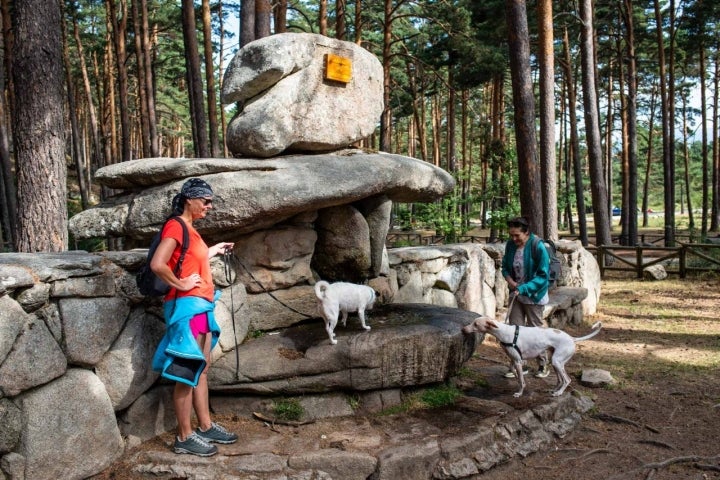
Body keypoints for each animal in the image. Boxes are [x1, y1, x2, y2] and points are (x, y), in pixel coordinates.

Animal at [462, 316, 600, 398]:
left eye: (475, 324)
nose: (463, 329)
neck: (504, 332)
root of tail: (572, 338)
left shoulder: (518, 361)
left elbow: (521, 380)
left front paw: (519, 393)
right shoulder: (514, 360)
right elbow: (516, 374)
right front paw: (517, 379)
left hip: (557, 362)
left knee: (567, 380)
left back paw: (559, 393)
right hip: (555, 362)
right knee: (560, 380)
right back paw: (554, 390)